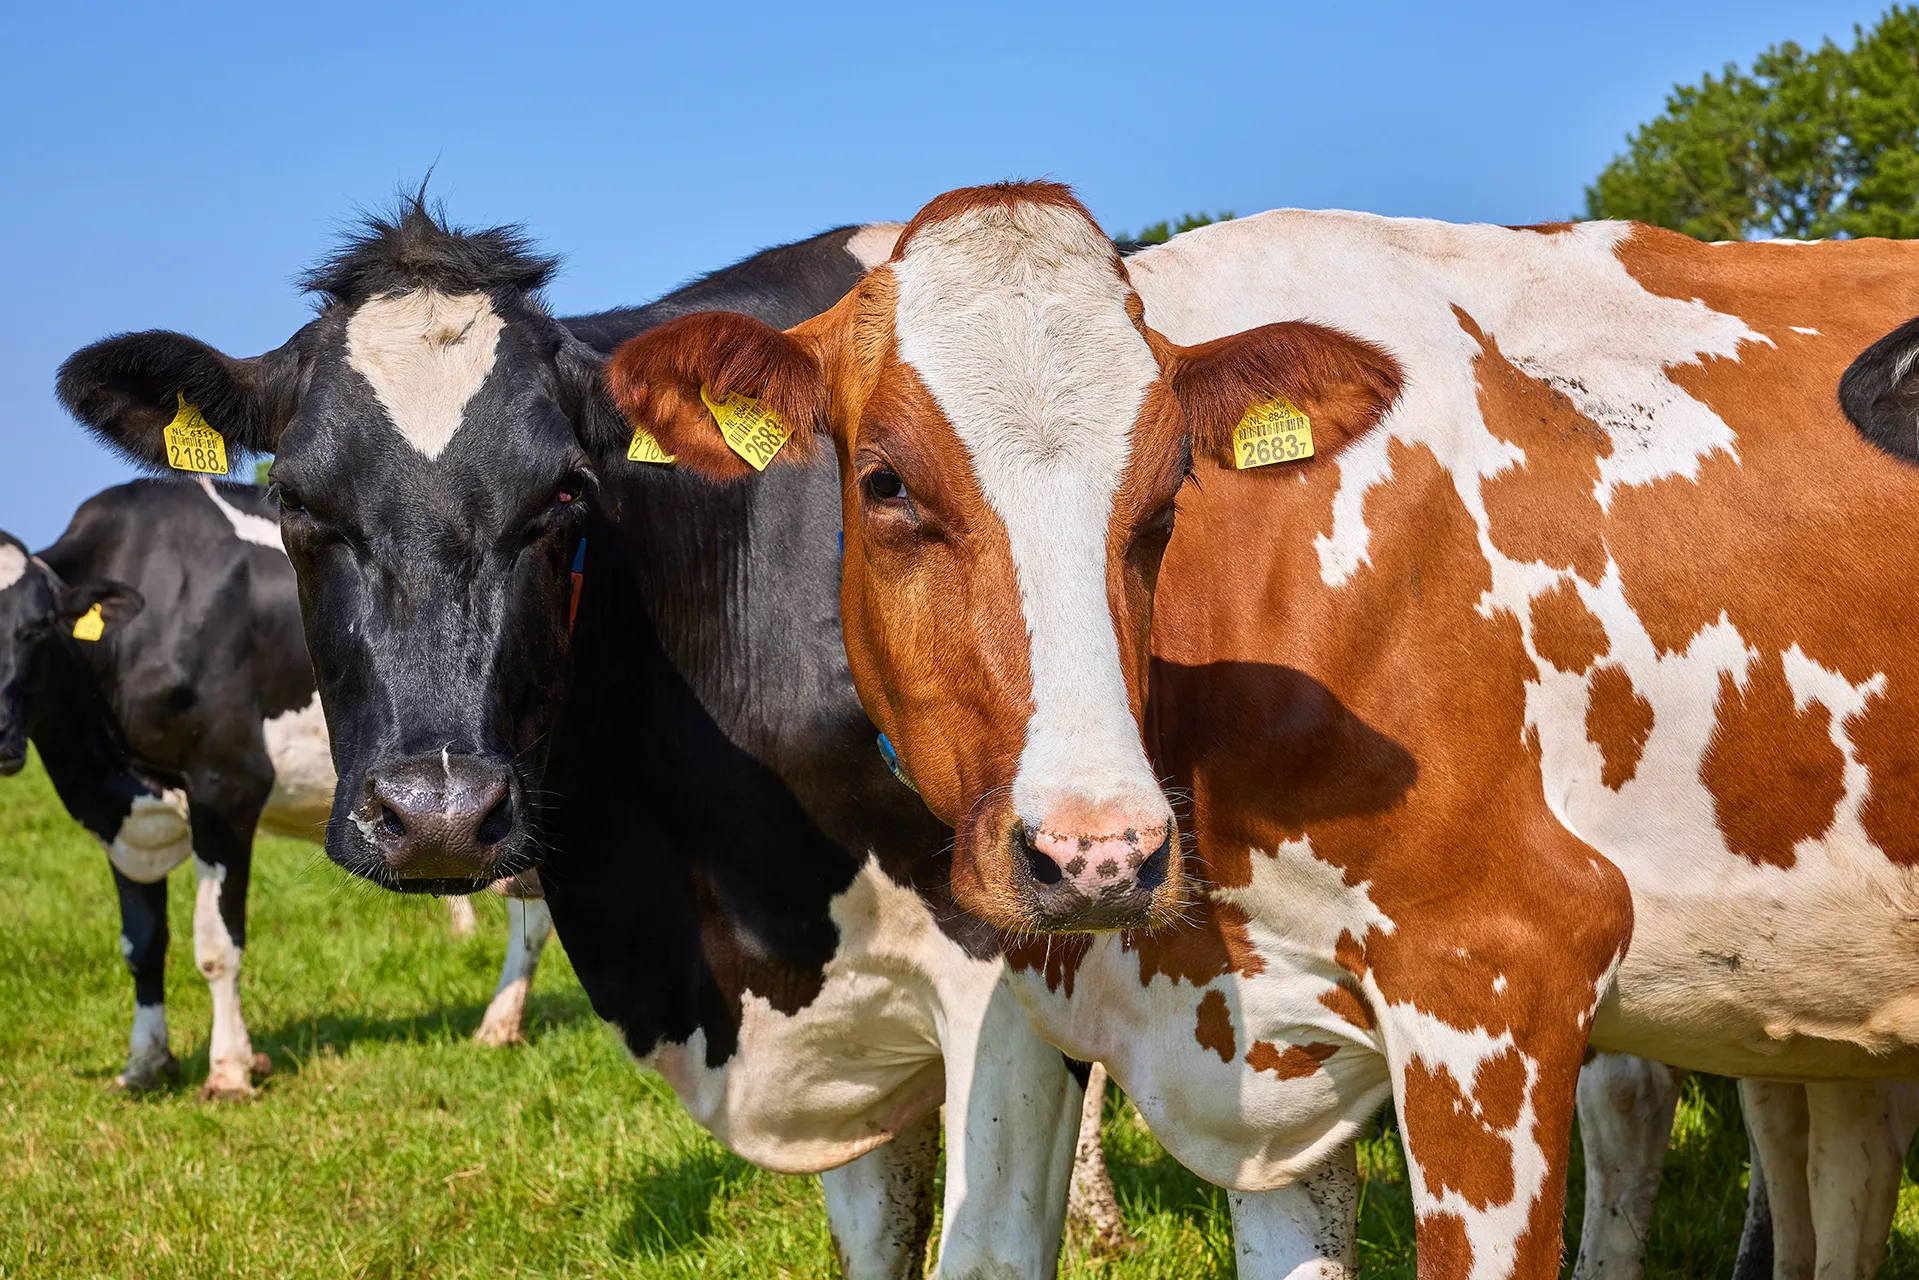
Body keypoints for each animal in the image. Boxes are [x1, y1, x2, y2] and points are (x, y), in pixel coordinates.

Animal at [0, 485, 556, 1097]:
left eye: (35, 629)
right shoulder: (124, 820)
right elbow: (141, 944)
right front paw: (144, 1063)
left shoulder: (228, 786)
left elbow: (217, 946)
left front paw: (229, 1069)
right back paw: (500, 1024)